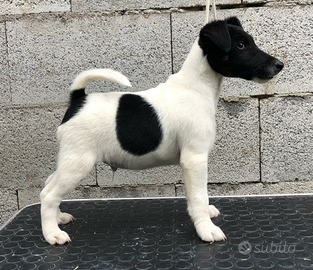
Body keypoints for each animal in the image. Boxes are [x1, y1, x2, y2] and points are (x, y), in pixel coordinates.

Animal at [39, 16, 282, 245]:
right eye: (240, 45)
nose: (279, 65)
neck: (196, 86)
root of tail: (78, 99)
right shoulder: (195, 159)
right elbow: (199, 197)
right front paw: (207, 230)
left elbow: (195, 196)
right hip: (78, 162)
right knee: (49, 195)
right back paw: (53, 234)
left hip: (70, 159)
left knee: (48, 184)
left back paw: (59, 218)